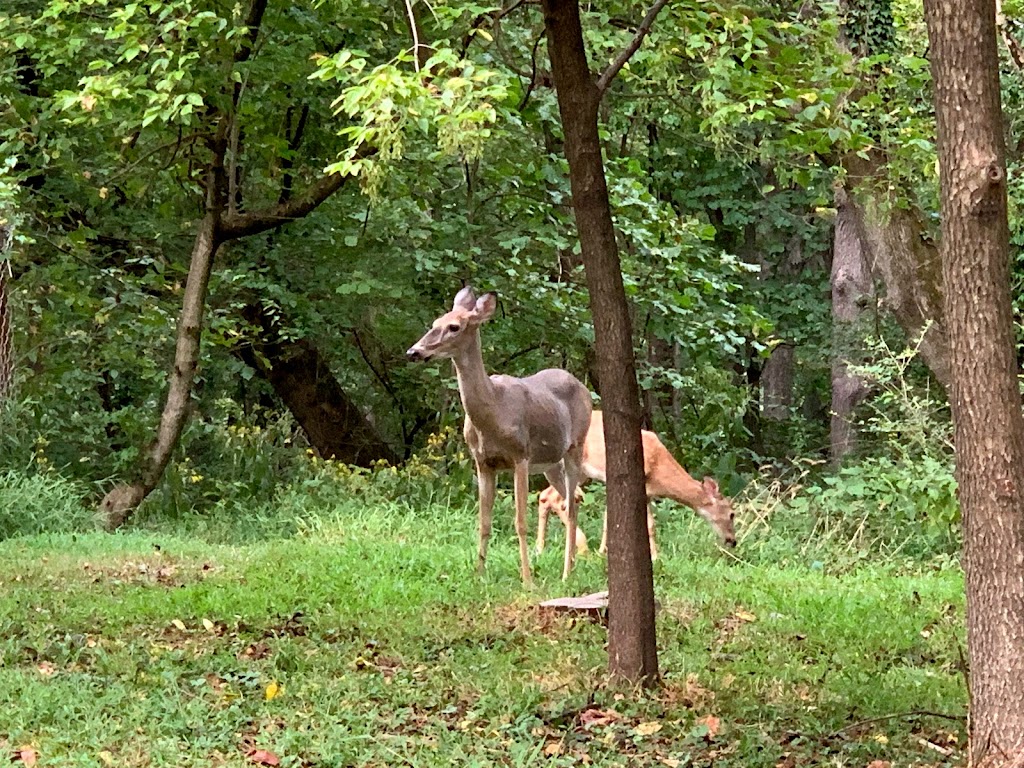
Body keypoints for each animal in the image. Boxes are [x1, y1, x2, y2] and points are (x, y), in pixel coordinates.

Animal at [403, 286, 589, 581]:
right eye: (435, 322)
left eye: (454, 327)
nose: (414, 351)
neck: (493, 411)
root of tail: (583, 387)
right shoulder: (482, 462)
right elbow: (484, 521)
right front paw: (479, 574)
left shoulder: (520, 456)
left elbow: (520, 521)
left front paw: (527, 580)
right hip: (551, 462)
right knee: (575, 500)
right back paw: (569, 566)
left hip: (575, 446)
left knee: (570, 506)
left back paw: (565, 574)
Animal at [536, 409, 737, 561]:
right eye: (731, 514)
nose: (733, 541)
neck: (659, 466)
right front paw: (653, 557)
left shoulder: (645, 492)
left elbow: (644, 525)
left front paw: (606, 552)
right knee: (556, 499)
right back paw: (580, 547)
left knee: (545, 496)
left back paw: (540, 549)